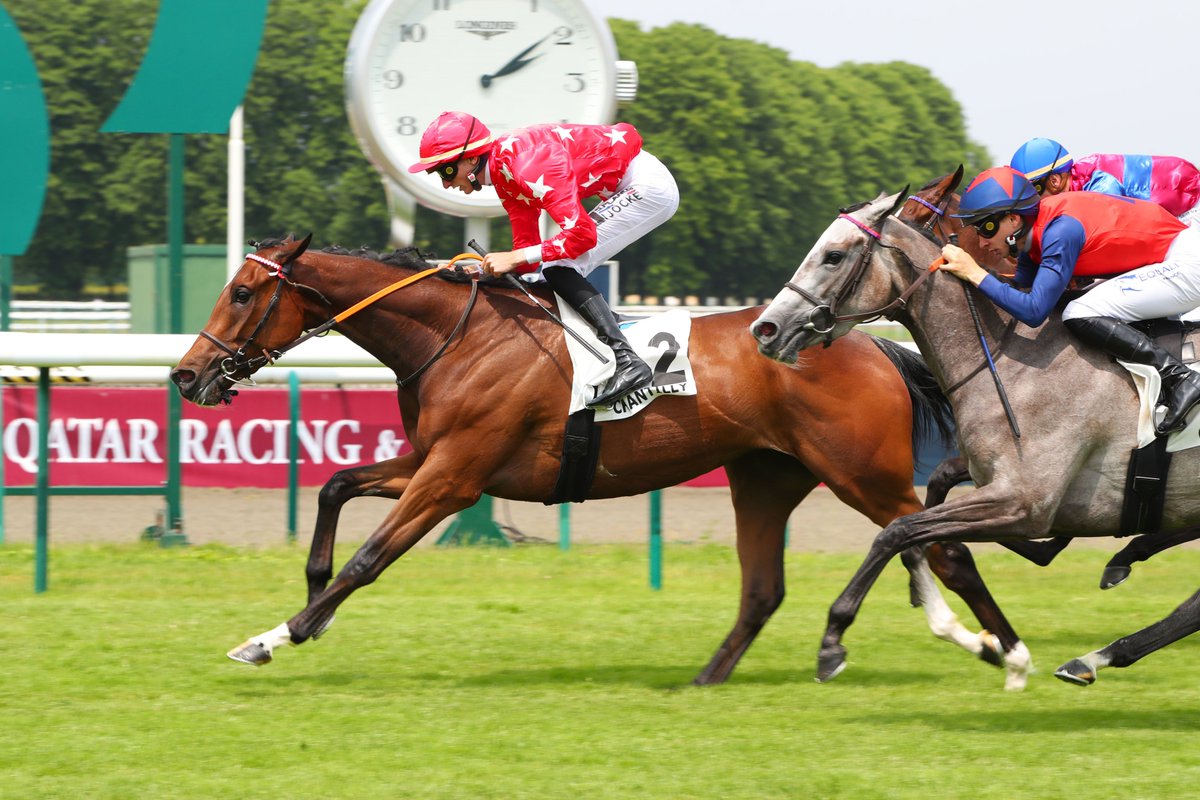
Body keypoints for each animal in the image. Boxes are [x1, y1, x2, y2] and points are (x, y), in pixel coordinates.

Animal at [171, 232, 1032, 690]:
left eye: (242, 293)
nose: (186, 375)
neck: (458, 335)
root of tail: (874, 343)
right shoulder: (433, 459)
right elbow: (336, 485)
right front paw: (308, 595)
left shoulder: (454, 477)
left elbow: (368, 558)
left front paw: (278, 634)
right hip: (767, 476)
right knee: (769, 587)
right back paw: (707, 680)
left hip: (863, 473)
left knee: (939, 547)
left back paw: (997, 648)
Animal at [753, 181, 1200, 690]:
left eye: (833, 255)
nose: (765, 328)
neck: (1011, 357)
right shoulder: (996, 482)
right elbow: (928, 508)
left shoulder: (1024, 501)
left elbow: (897, 530)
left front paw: (833, 639)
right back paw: (1099, 646)